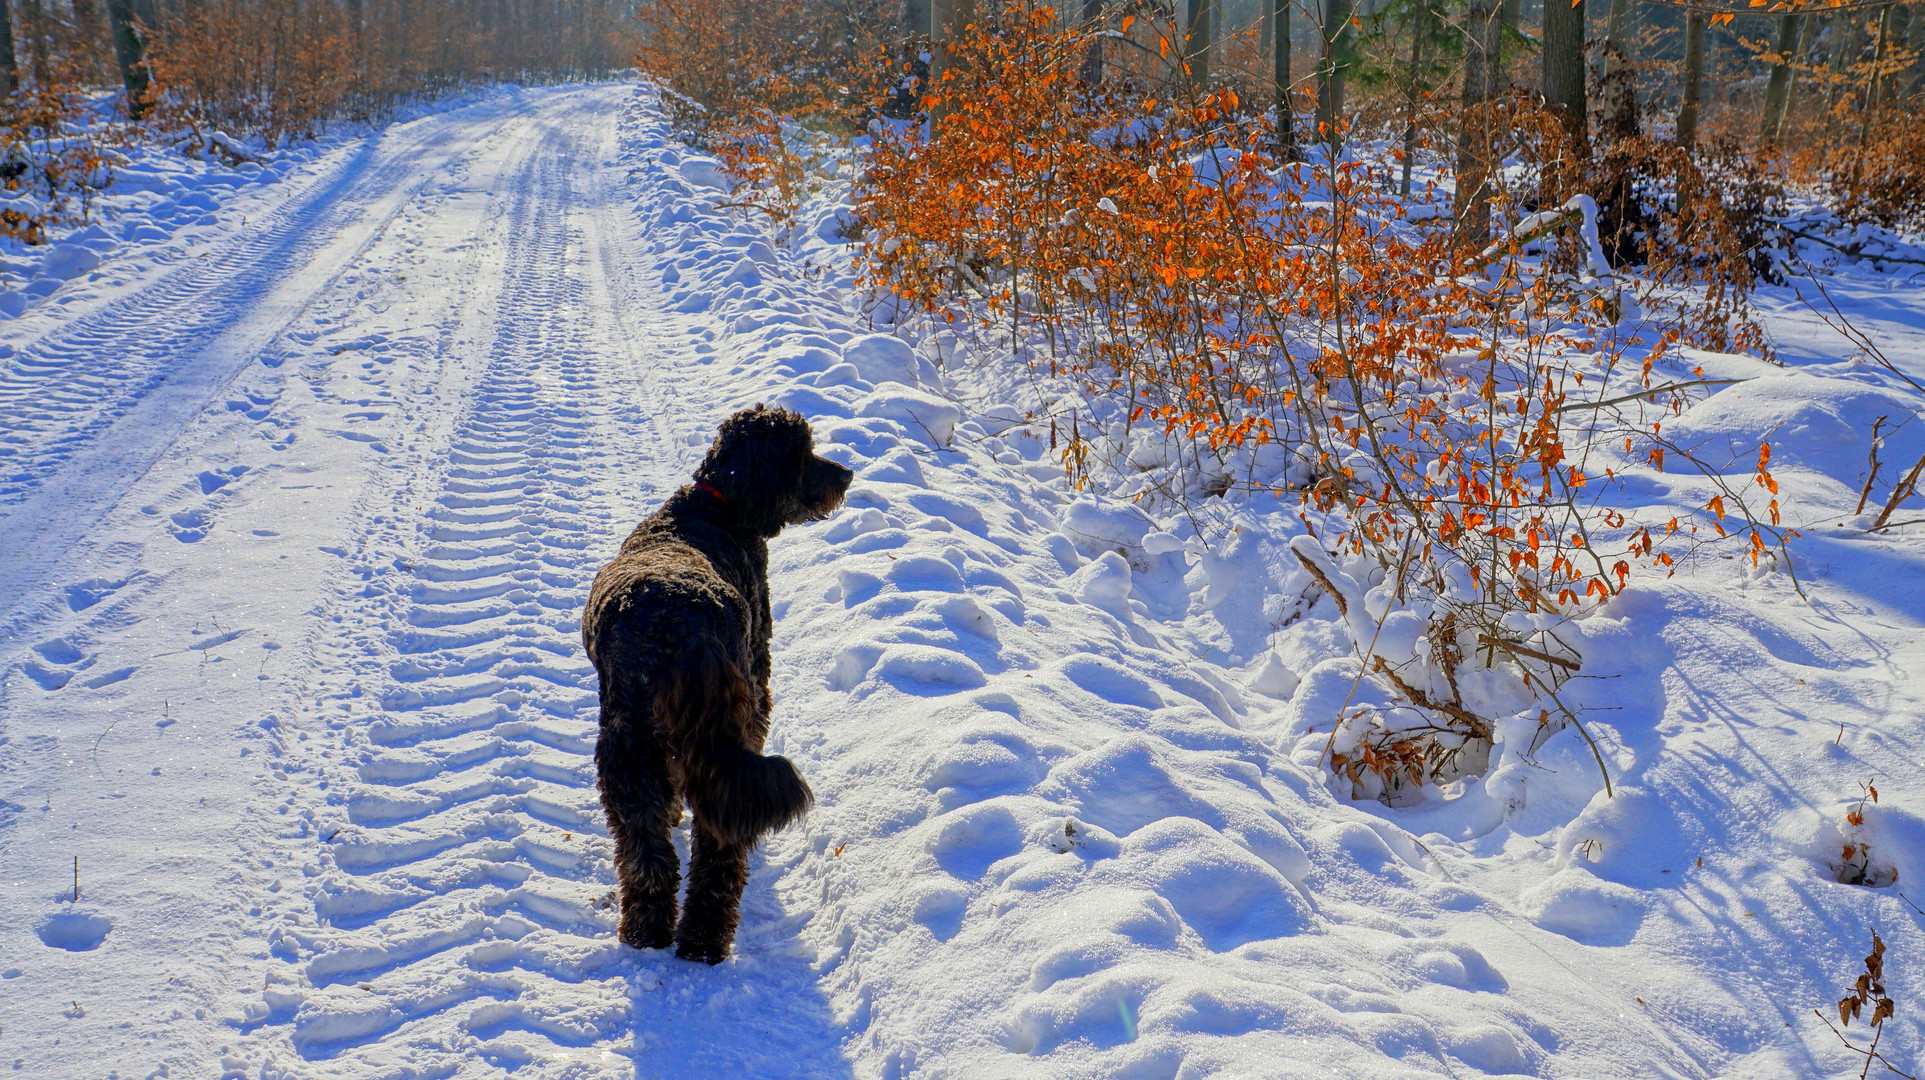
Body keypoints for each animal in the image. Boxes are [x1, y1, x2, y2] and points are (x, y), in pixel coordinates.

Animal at [577, 404, 850, 958]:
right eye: (803, 452)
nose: (847, 474)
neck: (714, 506)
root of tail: (683, 627)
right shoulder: (758, 680)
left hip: (627, 747)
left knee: (647, 853)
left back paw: (646, 933)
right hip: (725, 724)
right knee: (717, 853)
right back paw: (705, 941)